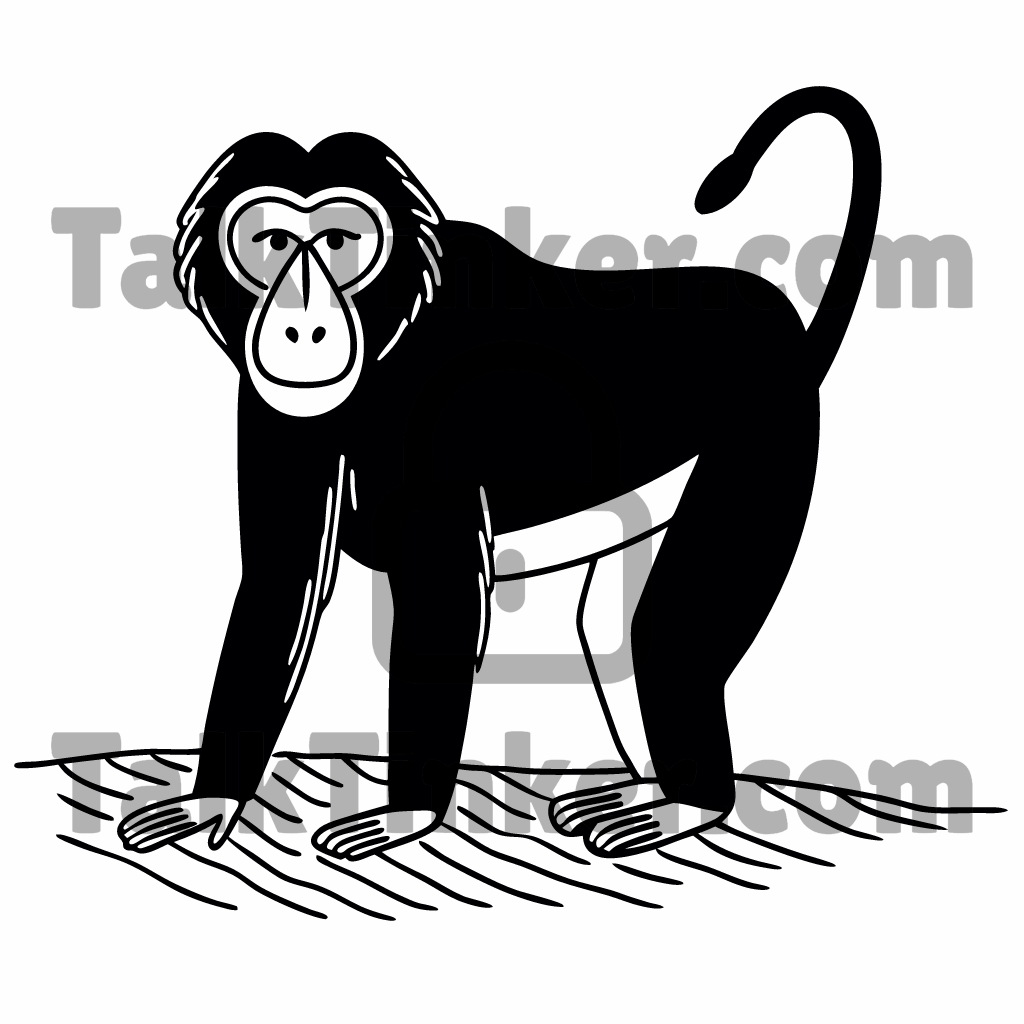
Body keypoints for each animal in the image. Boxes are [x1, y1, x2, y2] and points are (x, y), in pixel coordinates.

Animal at [117, 86, 880, 861]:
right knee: (617, 635)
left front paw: (407, 812)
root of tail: (777, 313)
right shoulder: (271, 410)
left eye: (338, 243)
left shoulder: (443, 405)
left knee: (670, 631)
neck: (390, 339)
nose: (304, 326)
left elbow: (440, 596)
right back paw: (650, 789)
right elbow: (281, 587)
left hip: (766, 425)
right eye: (271, 243)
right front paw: (211, 799)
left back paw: (687, 804)